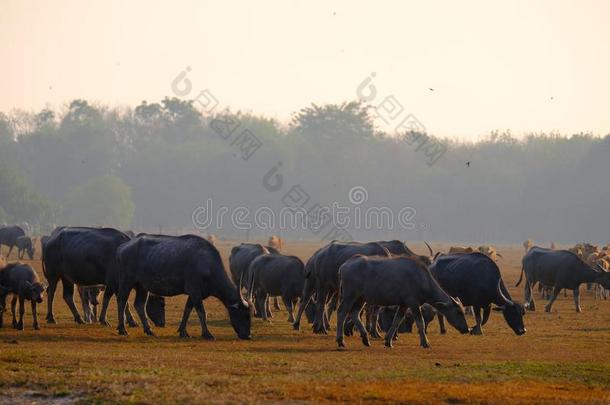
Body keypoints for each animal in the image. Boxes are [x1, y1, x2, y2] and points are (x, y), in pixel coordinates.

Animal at [115, 232, 251, 340]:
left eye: (250, 314)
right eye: (244, 314)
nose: (248, 336)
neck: (207, 266)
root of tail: (122, 248)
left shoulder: (195, 294)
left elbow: (187, 310)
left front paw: (183, 332)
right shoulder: (195, 291)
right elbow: (202, 312)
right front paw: (207, 334)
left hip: (142, 286)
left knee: (139, 305)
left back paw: (149, 330)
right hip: (127, 281)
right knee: (122, 300)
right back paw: (122, 329)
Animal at [332, 256, 466, 348]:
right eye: (459, 312)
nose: (466, 329)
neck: (420, 279)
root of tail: (343, 266)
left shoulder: (403, 305)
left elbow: (396, 321)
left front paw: (388, 341)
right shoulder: (413, 304)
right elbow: (420, 323)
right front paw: (425, 342)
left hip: (361, 298)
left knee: (354, 313)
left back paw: (365, 339)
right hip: (349, 296)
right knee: (342, 312)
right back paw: (340, 340)